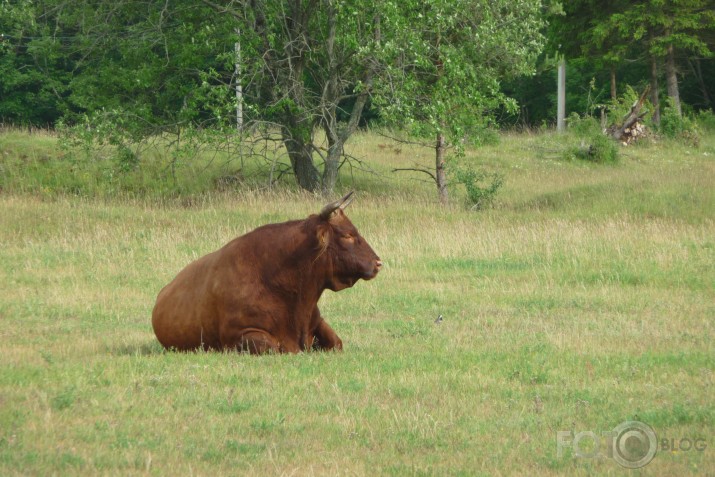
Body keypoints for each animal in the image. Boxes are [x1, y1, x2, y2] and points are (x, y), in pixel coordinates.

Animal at [151, 192, 384, 352]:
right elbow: (277, 347)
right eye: (347, 235)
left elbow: (336, 343)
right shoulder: (240, 336)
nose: (378, 262)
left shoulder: (318, 322)